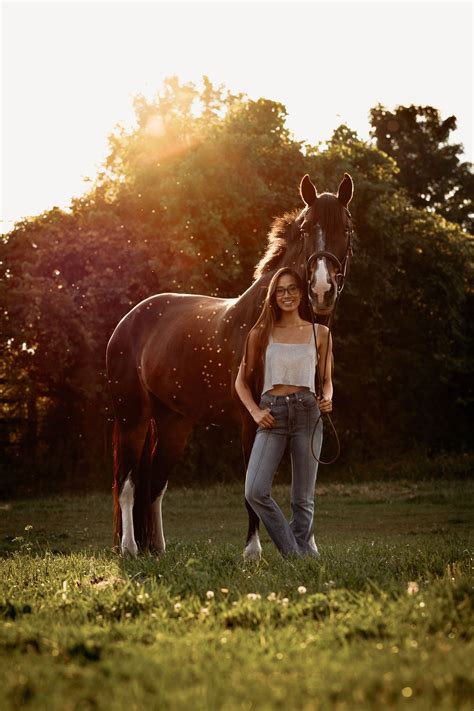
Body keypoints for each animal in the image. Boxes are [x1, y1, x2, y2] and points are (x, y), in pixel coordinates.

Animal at [105, 171, 354, 556]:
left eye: (346, 227)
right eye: (305, 229)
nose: (321, 290)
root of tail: (127, 321)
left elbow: (304, 485)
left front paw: (309, 548)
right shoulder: (251, 421)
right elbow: (253, 490)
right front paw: (252, 552)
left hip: (174, 423)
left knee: (155, 483)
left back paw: (158, 550)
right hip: (133, 417)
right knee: (129, 482)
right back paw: (130, 549)